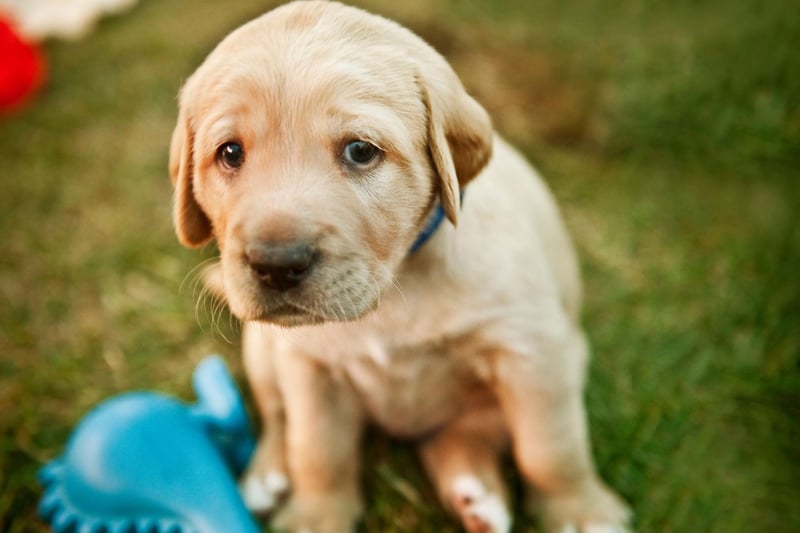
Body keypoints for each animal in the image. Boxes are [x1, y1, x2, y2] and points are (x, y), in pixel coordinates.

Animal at [170, 1, 632, 532]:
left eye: (360, 151)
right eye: (230, 153)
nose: (276, 265)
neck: (394, 286)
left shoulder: (533, 350)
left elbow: (550, 448)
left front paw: (580, 511)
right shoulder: (308, 368)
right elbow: (316, 449)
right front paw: (315, 515)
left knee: (462, 437)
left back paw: (476, 496)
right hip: (263, 349)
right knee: (277, 418)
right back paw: (267, 475)